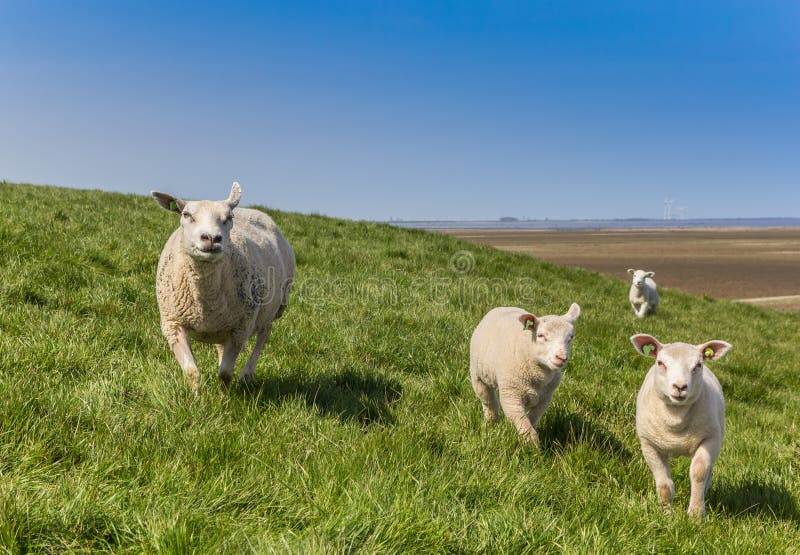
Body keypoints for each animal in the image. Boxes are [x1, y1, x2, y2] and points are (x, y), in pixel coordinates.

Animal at [152, 185, 296, 394]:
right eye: (186, 214)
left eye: (229, 217)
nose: (212, 238)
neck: (204, 298)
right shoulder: (173, 324)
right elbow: (191, 371)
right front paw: (195, 398)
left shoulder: (240, 329)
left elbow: (225, 373)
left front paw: (223, 398)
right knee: (223, 347)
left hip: (272, 309)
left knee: (263, 336)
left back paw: (247, 375)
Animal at [468, 302, 580, 446]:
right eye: (541, 335)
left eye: (571, 337)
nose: (561, 358)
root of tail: (503, 307)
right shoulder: (511, 395)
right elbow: (526, 428)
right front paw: (532, 448)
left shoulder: (545, 398)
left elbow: (531, 421)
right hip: (478, 376)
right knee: (489, 402)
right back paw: (491, 424)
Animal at [628, 334, 736, 520]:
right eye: (660, 363)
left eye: (698, 365)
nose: (680, 387)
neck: (675, 422)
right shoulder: (649, 444)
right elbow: (664, 484)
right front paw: (666, 514)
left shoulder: (710, 439)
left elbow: (699, 472)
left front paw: (696, 514)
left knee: (709, 473)